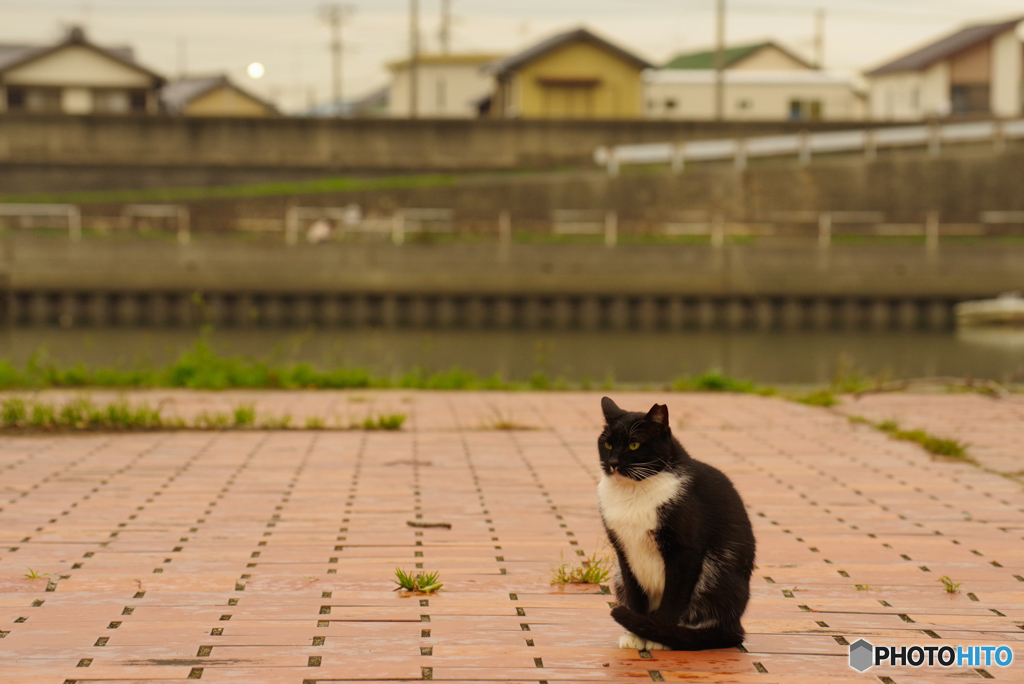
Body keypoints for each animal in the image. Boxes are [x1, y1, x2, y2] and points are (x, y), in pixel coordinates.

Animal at [598, 397, 757, 651]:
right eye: (607, 444)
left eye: (634, 445)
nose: (612, 463)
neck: (634, 490)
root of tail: (736, 624)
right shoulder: (624, 550)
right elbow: (634, 594)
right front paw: (635, 635)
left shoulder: (685, 551)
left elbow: (674, 597)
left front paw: (658, 635)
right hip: (618, 576)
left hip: (718, 577)